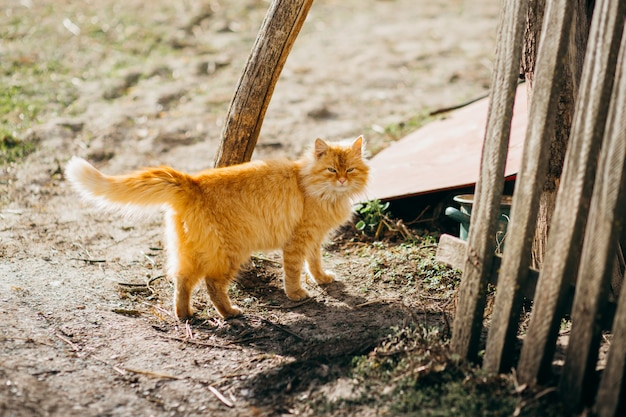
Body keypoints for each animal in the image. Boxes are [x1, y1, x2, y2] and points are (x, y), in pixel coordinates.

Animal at [64, 136, 366, 318]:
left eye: (350, 169)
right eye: (331, 170)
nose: (341, 180)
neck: (318, 191)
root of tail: (193, 182)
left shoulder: (314, 238)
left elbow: (314, 262)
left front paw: (322, 278)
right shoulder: (298, 240)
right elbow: (293, 271)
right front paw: (297, 295)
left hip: (192, 251)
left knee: (182, 281)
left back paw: (184, 315)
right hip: (230, 252)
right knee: (211, 284)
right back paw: (230, 313)